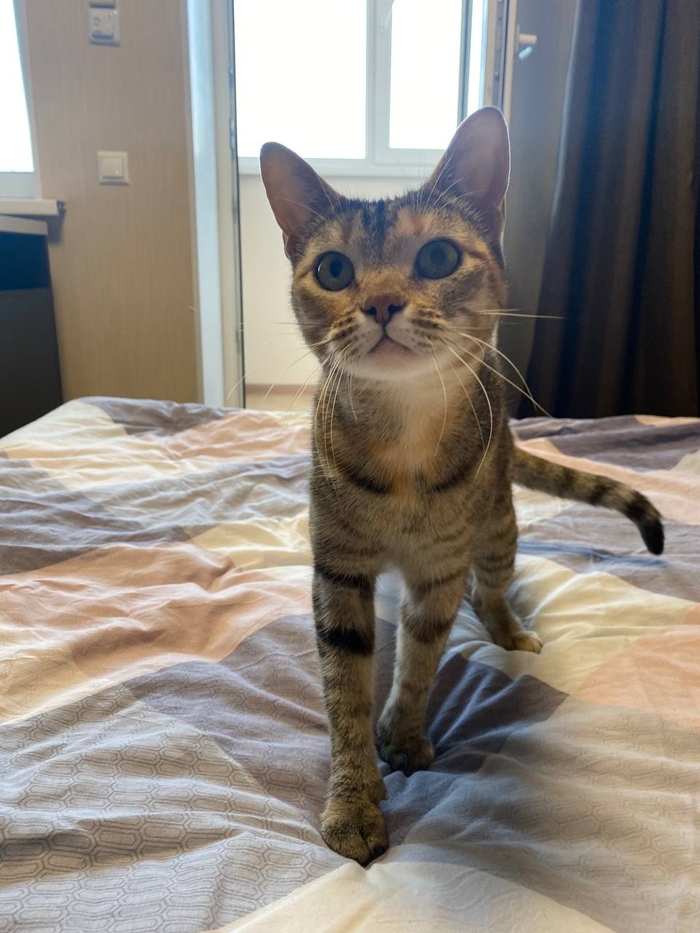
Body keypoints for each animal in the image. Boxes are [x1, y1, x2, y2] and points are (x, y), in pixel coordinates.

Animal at [260, 107, 664, 866]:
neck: (404, 440)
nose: (382, 302)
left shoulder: (441, 567)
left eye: (439, 258)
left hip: (499, 522)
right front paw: (354, 794)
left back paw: (508, 628)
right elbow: (344, 689)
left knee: (491, 587)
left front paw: (403, 732)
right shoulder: (339, 570)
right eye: (333, 269)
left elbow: (421, 656)